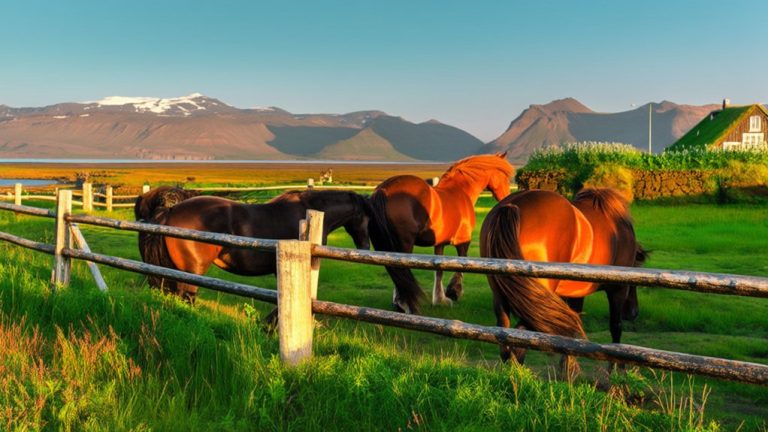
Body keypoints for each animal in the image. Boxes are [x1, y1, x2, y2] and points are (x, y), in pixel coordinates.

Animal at [368, 152, 514, 314]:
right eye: (505, 176)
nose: (506, 197)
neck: (460, 192)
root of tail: (383, 190)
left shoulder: (440, 244)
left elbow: (439, 269)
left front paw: (439, 299)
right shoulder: (463, 241)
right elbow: (460, 263)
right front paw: (454, 292)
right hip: (405, 243)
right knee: (400, 269)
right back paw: (406, 304)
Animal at [479, 188, 647, 375]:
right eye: (636, 269)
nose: (633, 312)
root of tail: (511, 206)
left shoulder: (576, 294)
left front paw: (567, 368)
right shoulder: (618, 290)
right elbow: (616, 328)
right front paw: (618, 371)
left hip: (503, 296)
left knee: (505, 335)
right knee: (520, 338)